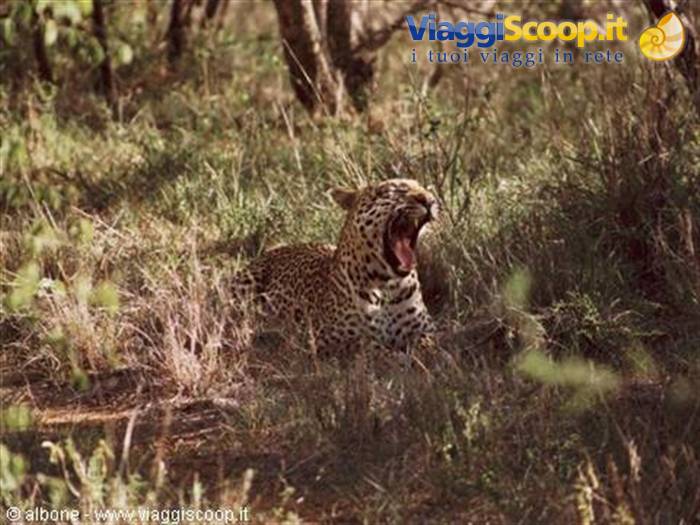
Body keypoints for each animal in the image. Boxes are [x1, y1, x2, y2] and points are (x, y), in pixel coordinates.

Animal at [235, 178, 440, 354]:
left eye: (423, 187)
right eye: (392, 190)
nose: (429, 200)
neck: (388, 285)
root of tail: (276, 247)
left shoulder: (426, 329)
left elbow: (429, 346)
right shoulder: (326, 339)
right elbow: (371, 347)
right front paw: (397, 356)